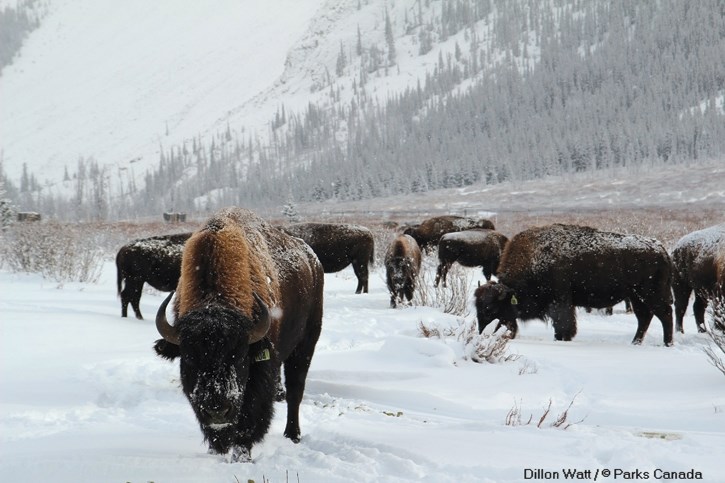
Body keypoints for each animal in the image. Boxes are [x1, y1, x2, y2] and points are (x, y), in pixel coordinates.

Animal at [154, 206, 324, 464]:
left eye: (239, 356)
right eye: (190, 358)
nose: (216, 409)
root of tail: (312, 260)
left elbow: (249, 419)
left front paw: (241, 456)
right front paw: (216, 451)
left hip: (306, 342)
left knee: (296, 389)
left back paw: (292, 435)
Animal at [476, 225, 672, 346]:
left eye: (489, 308)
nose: (481, 331)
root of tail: (661, 249)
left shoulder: (560, 302)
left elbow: (563, 324)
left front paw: (563, 339)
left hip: (651, 294)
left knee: (665, 314)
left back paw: (667, 343)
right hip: (636, 296)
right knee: (644, 317)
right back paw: (635, 342)